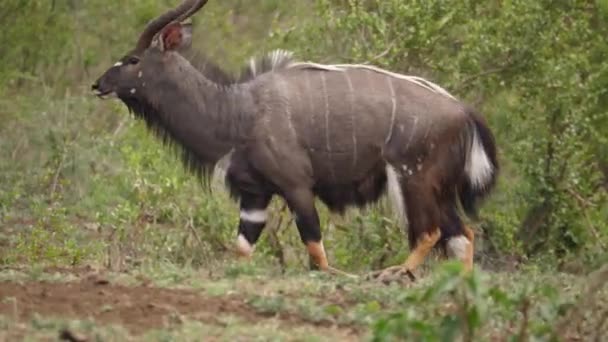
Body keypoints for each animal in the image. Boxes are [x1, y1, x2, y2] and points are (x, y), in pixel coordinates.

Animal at [91, 0, 498, 280]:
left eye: (132, 59)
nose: (98, 85)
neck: (238, 112)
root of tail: (465, 112)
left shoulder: (297, 186)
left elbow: (317, 253)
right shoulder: (254, 195)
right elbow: (242, 249)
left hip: (414, 180)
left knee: (430, 232)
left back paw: (393, 273)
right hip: (437, 189)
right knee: (462, 235)